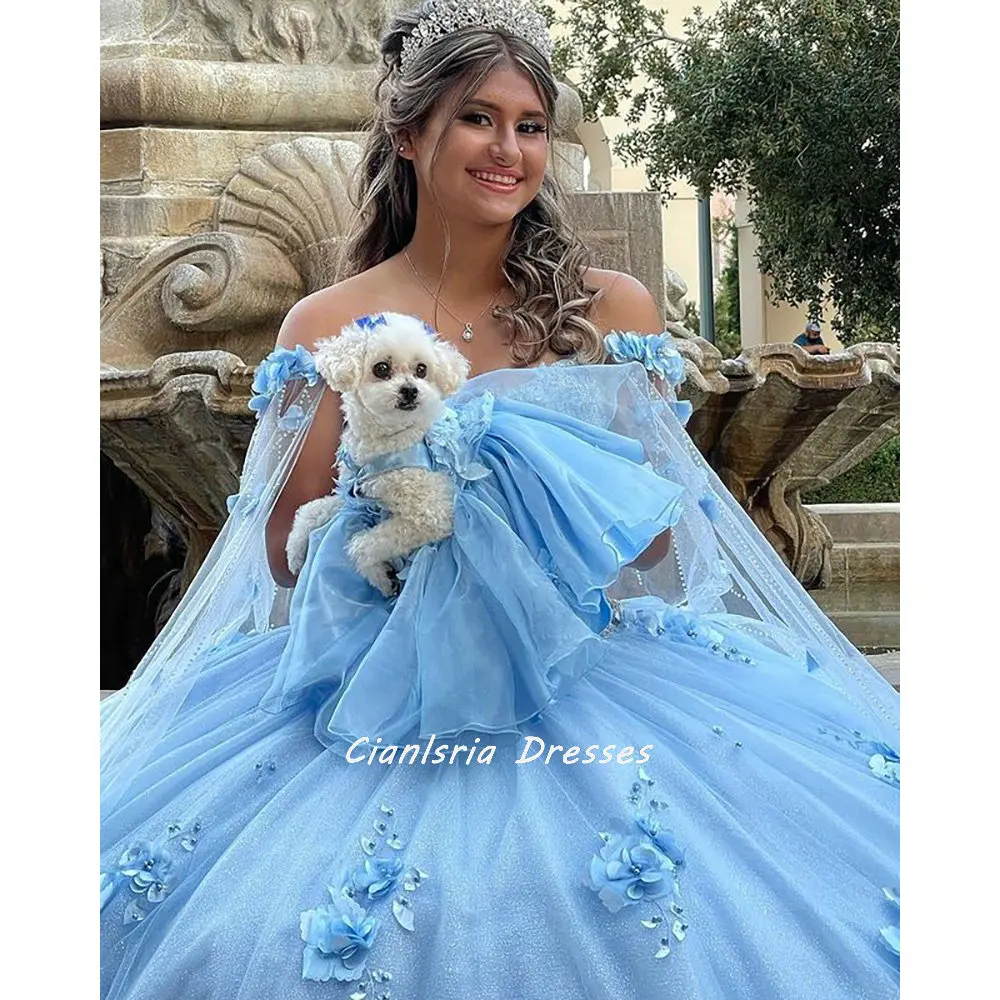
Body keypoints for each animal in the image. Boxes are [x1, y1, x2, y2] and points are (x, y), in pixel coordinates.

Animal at [282, 314, 468, 592]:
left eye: (421, 370)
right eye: (381, 368)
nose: (410, 390)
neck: (390, 438)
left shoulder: (431, 515)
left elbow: (361, 546)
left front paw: (380, 577)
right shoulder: (354, 495)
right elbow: (310, 510)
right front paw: (294, 552)